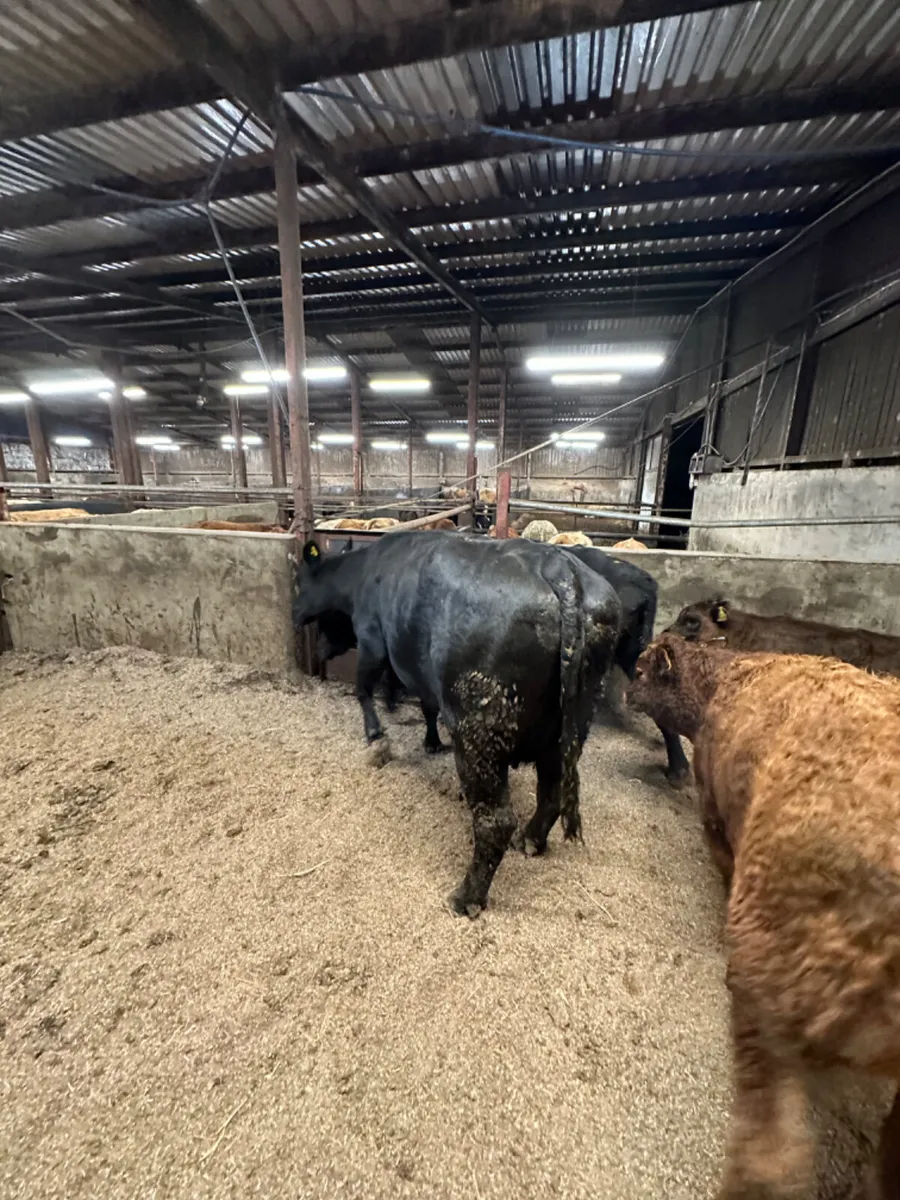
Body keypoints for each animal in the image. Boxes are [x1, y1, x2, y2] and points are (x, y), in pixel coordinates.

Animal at [294, 532, 621, 916]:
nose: (294, 614)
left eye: (300, 582)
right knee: (552, 792)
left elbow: (369, 690)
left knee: (495, 822)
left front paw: (377, 734)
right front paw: (428, 738)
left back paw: (466, 897)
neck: (364, 570)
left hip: (477, 730)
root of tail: (559, 566)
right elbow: (422, 705)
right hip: (570, 729)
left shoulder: (373, 640)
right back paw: (530, 840)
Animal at [628, 634, 900, 1199]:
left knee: (766, 1157)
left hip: (767, 980)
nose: (623, 692)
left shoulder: (713, 815)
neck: (724, 680)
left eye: (641, 670)